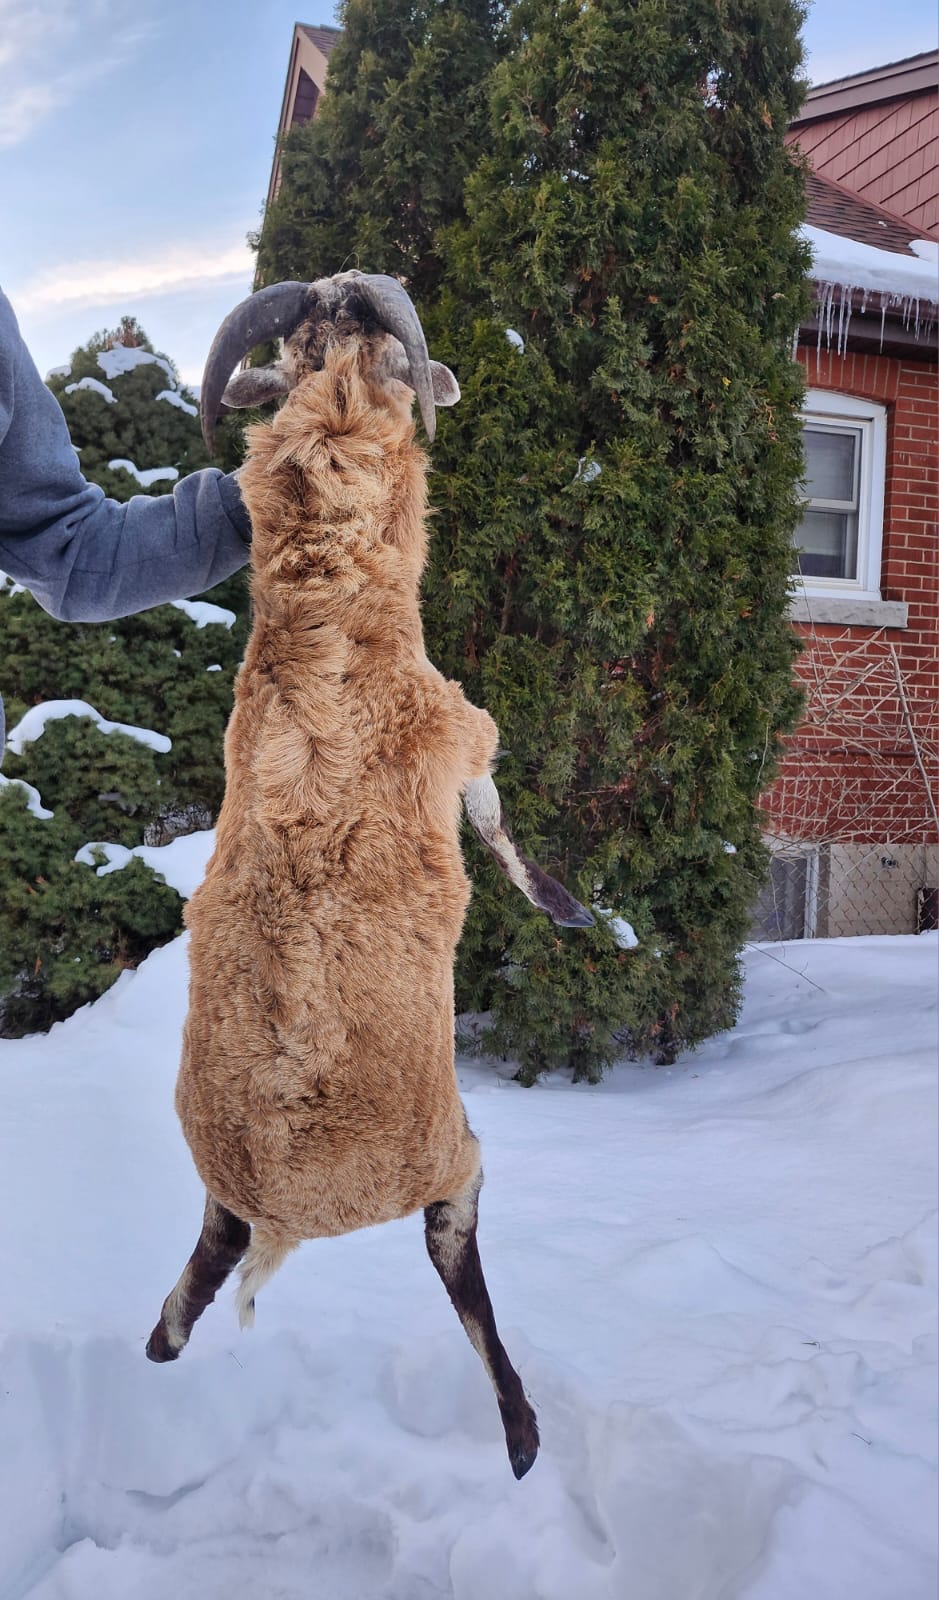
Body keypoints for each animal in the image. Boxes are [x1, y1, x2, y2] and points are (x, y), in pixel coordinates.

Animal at [145, 273, 593, 1479]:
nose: (343, 288)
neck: (327, 611)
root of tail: (293, 1208)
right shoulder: (461, 735)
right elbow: (495, 819)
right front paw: (574, 913)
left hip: (220, 1192)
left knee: (197, 1269)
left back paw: (165, 1338)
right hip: (448, 1155)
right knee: (455, 1251)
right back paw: (522, 1433)